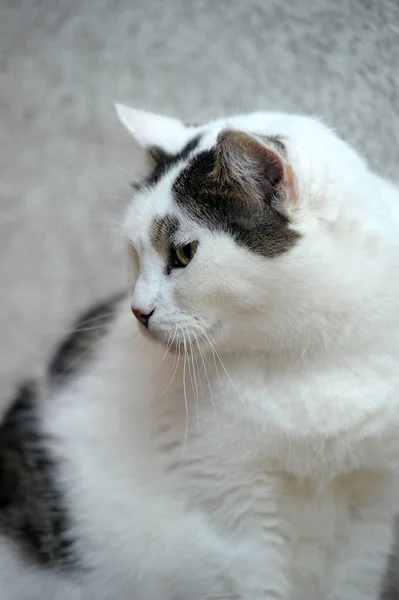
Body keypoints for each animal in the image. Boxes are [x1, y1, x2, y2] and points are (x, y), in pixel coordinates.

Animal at [0, 105, 399, 596]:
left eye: (184, 254)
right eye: (135, 253)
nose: (138, 310)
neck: (312, 362)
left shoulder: (374, 507)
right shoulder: (236, 521)